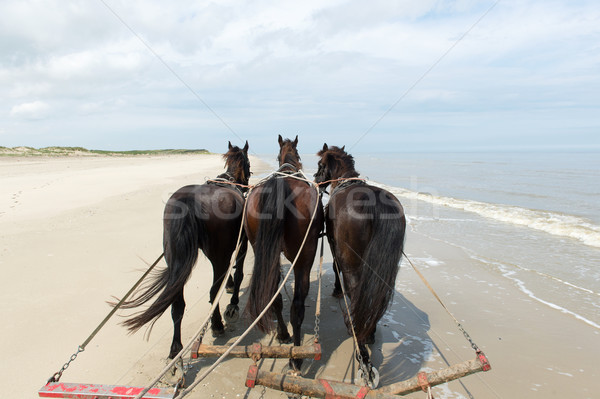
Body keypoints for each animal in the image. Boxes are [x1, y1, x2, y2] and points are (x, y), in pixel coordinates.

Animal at [118, 141, 250, 360]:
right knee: (213, 291)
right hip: (217, 254)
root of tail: (190, 200)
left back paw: (175, 347)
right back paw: (216, 325)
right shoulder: (242, 243)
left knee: (177, 303)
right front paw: (233, 299)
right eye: (248, 163)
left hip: (174, 258)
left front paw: (230, 285)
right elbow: (238, 272)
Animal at [244, 136, 324, 374]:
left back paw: (283, 333)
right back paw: (296, 357)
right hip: (304, 256)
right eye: (297, 153)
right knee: (297, 305)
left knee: (274, 294)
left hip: (260, 247)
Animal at [314, 144, 408, 388]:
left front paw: (337, 290)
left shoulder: (334, 246)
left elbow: (336, 270)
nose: (316, 179)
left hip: (352, 265)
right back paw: (369, 333)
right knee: (372, 297)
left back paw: (362, 351)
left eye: (320, 165)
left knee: (357, 293)